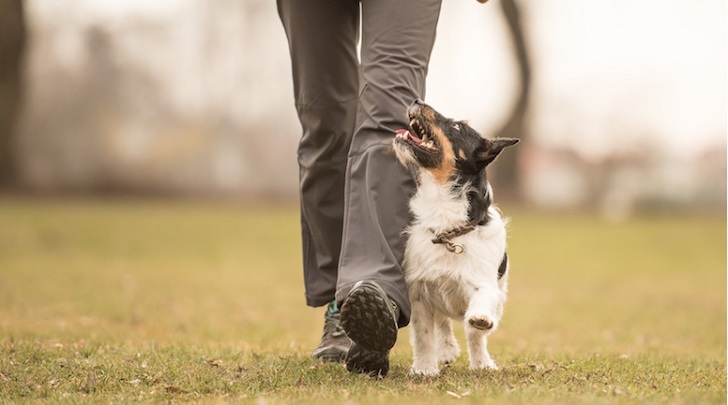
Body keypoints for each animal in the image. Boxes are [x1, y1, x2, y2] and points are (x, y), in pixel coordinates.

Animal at [392, 98, 516, 376]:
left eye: (458, 127)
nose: (417, 100)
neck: (448, 228)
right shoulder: (419, 291)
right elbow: (424, 335)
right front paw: (424, 368)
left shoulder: (485, 284)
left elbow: (480, 310)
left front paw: (480, 324)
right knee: (443, 323)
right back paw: (447, 349)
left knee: (474, 335)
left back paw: (482, 362)